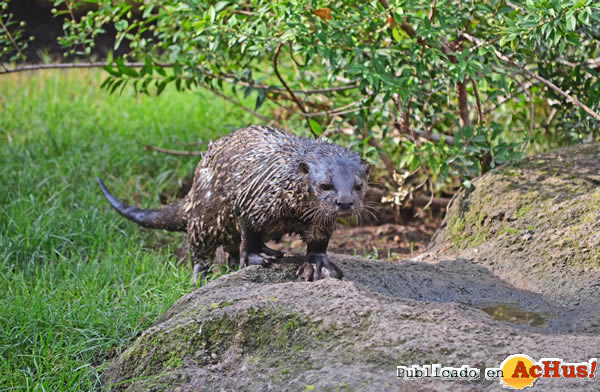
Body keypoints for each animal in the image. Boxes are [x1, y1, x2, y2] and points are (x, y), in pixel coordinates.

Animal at [98, 125, 370, 282]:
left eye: (359, 185)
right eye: (325, 185)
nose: (345, 202)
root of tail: (193, 190)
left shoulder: (319, 220)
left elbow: (319, 241)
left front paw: (318, 265)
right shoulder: (254, 200)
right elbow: (249, 231)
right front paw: (257, 256)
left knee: (228, 248)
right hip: (202, 217)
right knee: (201, 252)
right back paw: (201, 278)